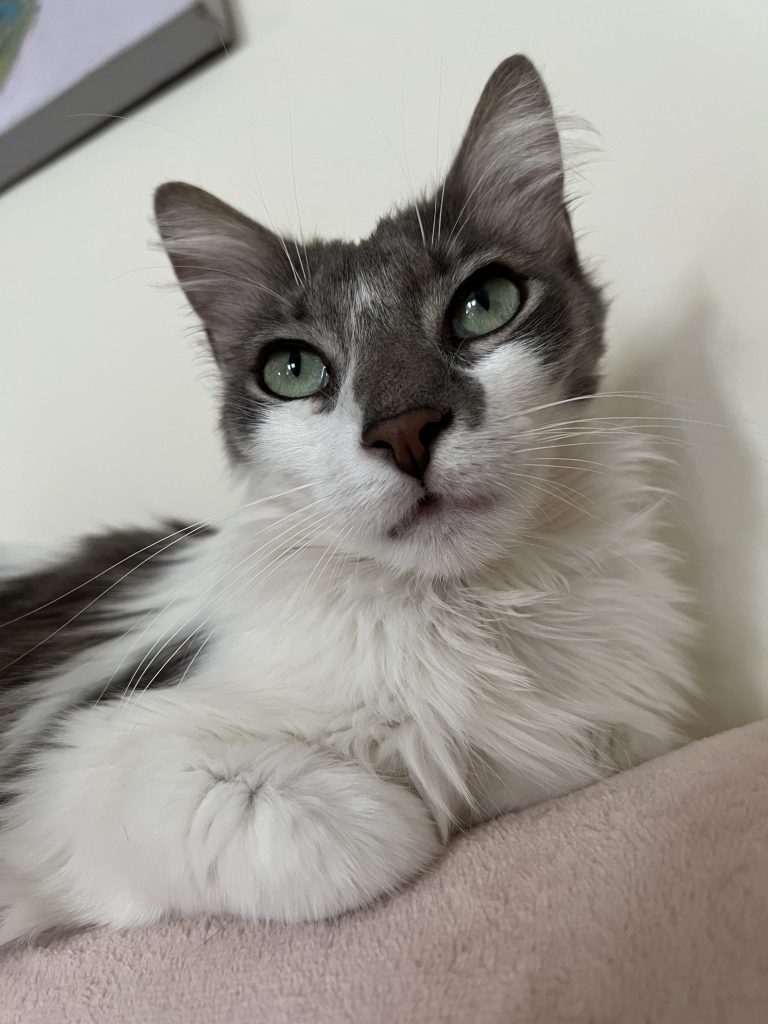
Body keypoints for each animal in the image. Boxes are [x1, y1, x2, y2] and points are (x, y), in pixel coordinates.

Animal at [0, 55, 694, 943]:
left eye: (485, 306)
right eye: (294, 370)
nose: (404, 430)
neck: (469, 611)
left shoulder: (618, 736)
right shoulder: (81, 764)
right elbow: (376, 828)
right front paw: (424, 797)